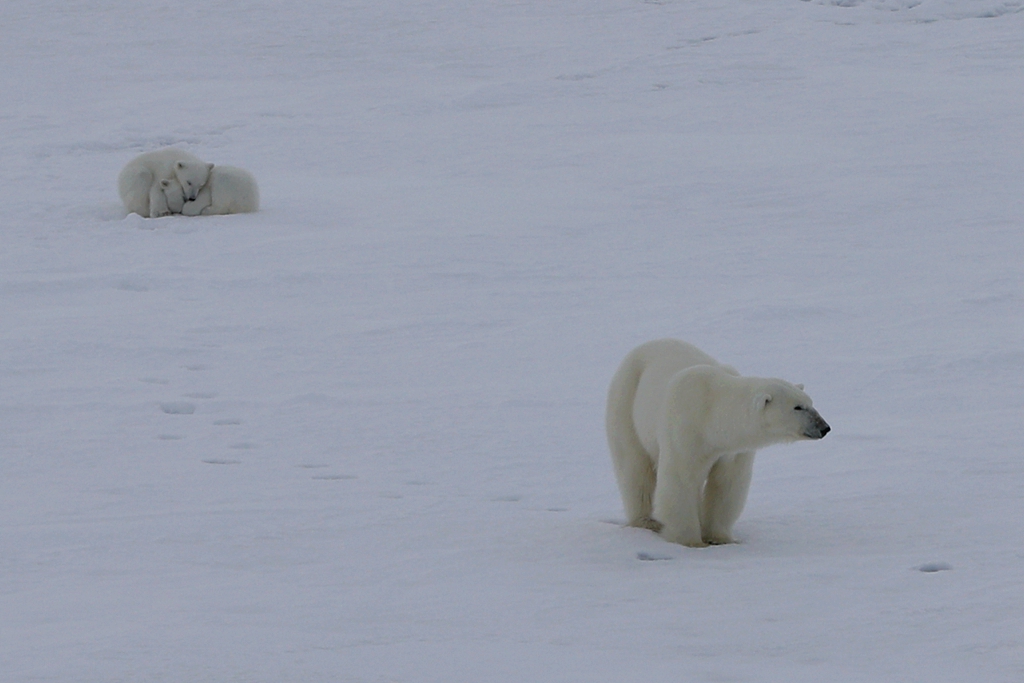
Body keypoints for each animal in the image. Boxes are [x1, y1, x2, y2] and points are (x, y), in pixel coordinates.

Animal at [602, 339, 827, 548]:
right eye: (797, 407)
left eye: (810, 402)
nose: (825, 427)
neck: (712, 411)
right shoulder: (685, 426)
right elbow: (681, 479)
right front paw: (691, 541)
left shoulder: (732, 451)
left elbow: (726, 484)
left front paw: (720, 538)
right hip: (626, 400)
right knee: (634, 466)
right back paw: (646, 521)